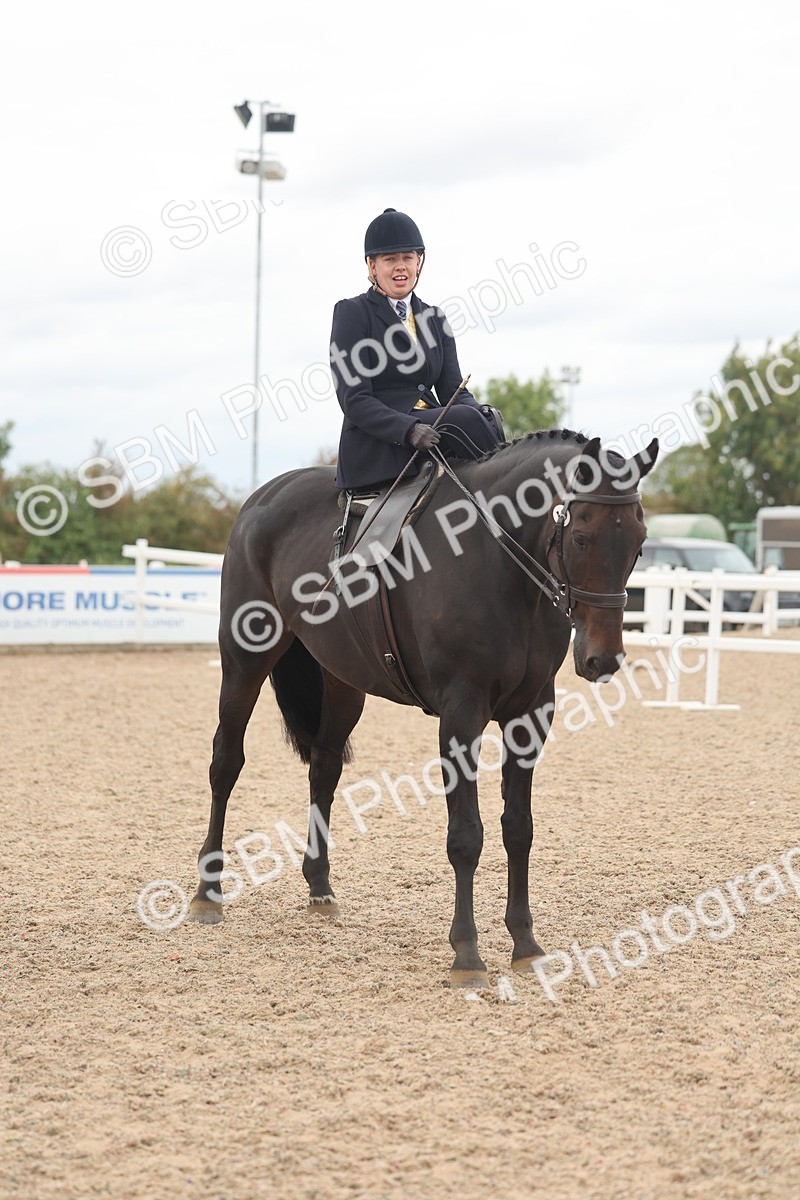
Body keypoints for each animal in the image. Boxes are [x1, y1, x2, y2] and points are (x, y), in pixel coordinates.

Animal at [188, 429, 659, 987]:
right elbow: (466, 836)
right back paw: (207, 892)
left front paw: (524, 943)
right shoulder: (461, 713)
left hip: (343, 680)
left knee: (323, 769)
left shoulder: (530, 714)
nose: (603, 659)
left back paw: (319, 886)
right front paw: (467, 954)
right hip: (245, 660)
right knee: (226, 762)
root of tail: (262, 497)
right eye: (582, 537)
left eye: (638, 542)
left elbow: (518, 828)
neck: (496, 563)